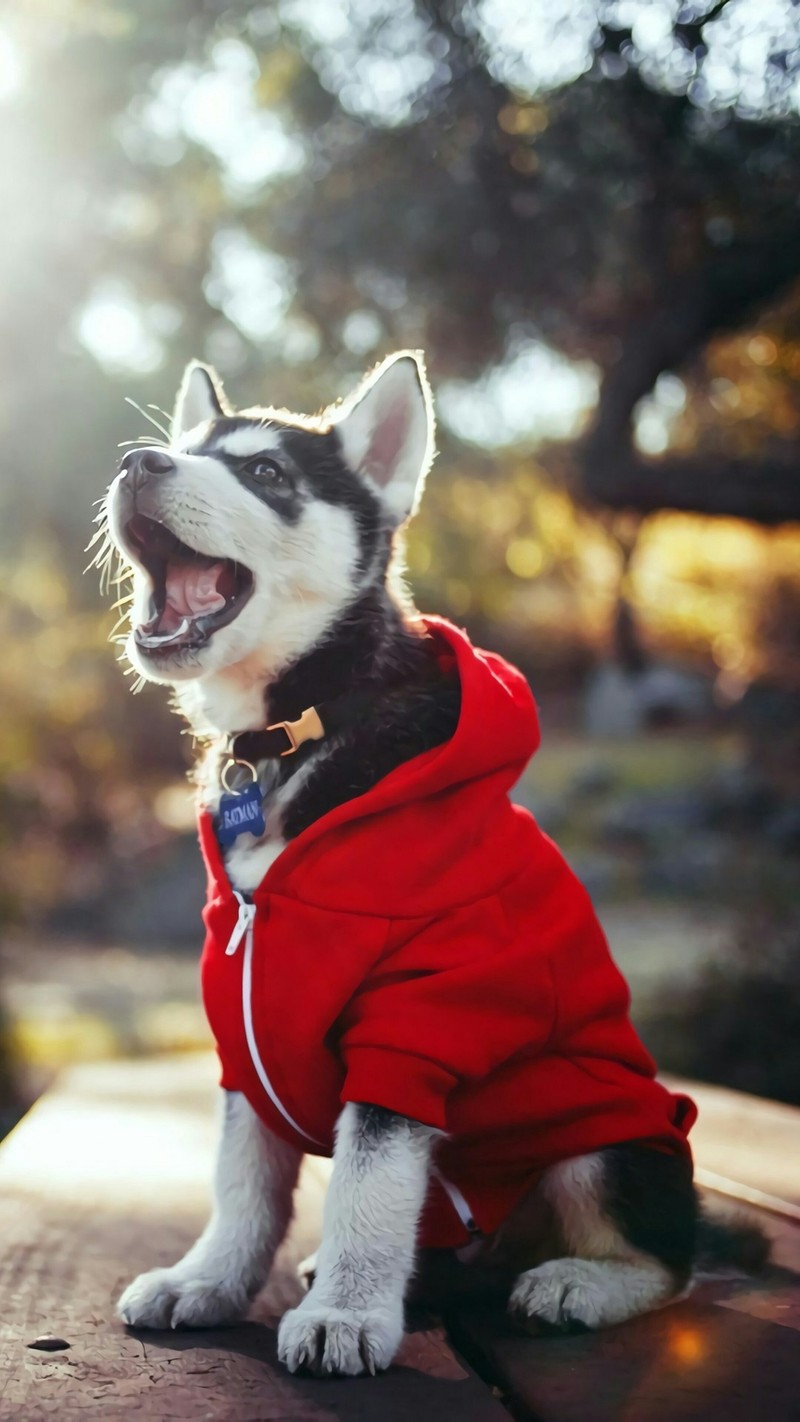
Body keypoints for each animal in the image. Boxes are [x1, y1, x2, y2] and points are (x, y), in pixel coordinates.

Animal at [97, 352, 767, 1376]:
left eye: (267, 474)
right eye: (184, 449)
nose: (137, 462)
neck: (295, 731)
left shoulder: (417, 1016)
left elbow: (368, 1186)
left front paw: (345, 1313)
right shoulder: (244, 1020)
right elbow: (243, 1179)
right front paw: (208, 1278)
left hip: (608, 1142)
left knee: (672, 1263)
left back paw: (579, 1281)